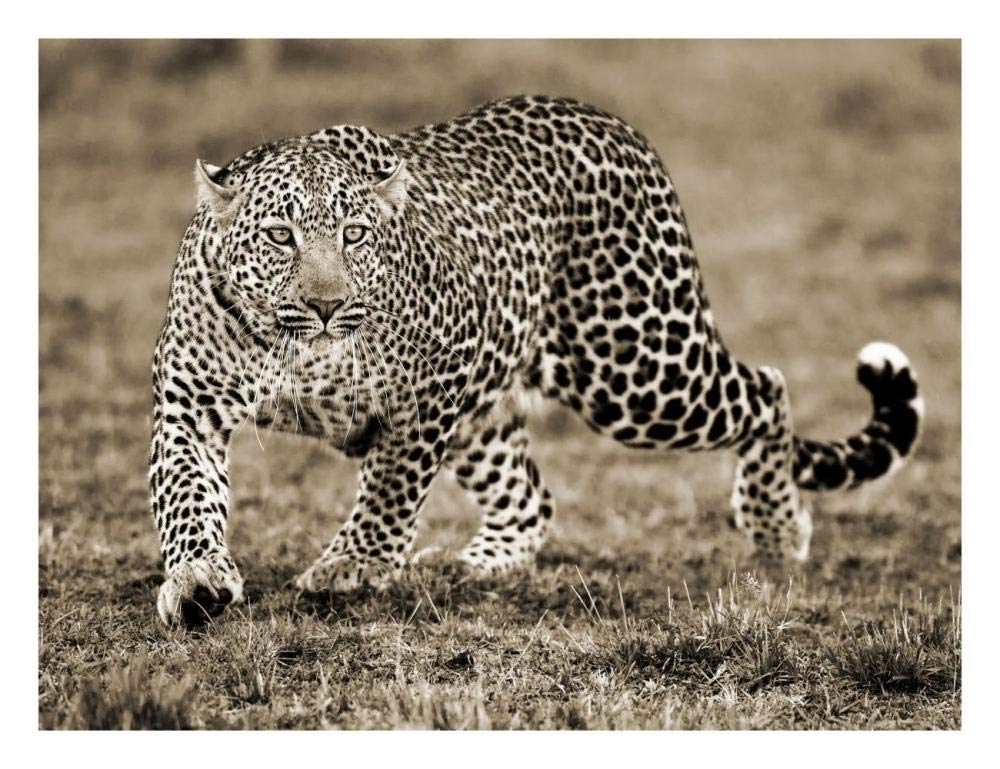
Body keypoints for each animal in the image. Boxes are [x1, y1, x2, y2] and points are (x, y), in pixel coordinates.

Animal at [150, 95, 924, 625]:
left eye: (356, 234)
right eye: (280, 235)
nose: (327, 306)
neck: (299, 352)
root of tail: (614, 123)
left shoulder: (433, 384)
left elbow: (391, 488)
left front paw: (352, 565)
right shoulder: (188, 403)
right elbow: (185, 496)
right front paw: (198, 581)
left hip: (638, 368)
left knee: (766, 388)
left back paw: (776, 528)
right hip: (497, 407)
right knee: (529, 495)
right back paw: (480, 565)